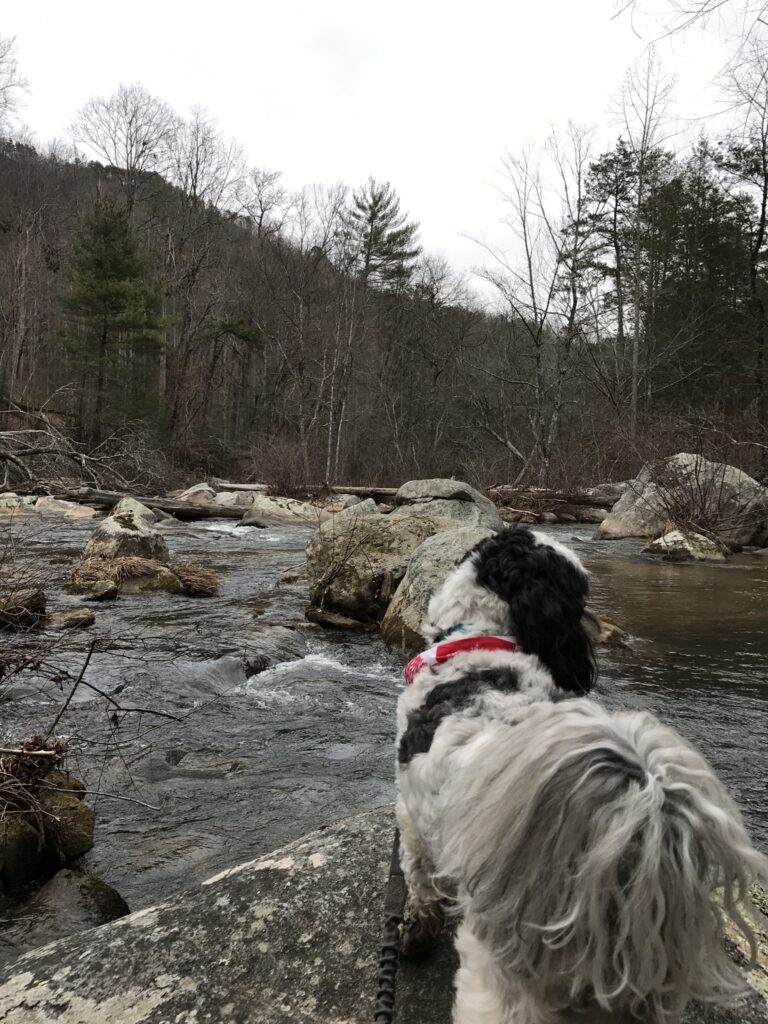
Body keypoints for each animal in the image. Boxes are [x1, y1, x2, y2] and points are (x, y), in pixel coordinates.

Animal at [397, 528, 768, 1024]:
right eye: (580, 595)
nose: (595, 625)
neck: (479, 641)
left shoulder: (409, 813)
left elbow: (417, 876)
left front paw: (416, 929)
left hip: (497, 978)